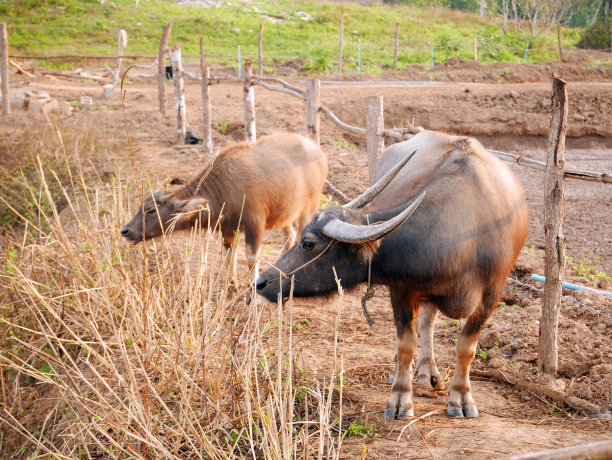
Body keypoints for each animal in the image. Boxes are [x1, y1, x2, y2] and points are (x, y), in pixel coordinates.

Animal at [121, 133, 328, 282]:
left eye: (151, 211)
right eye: (141, 207)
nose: (125, 231)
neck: (224, 190)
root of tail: (317, 150)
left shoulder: (255, 224)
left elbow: (251, 259)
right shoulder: (227, 230)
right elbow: (229, 258)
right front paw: (231, 285)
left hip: (309, 206)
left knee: (300, 235)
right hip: (285, 212)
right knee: (289, 236)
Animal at [256, 129, 528, 420]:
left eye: (308, 243)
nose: (261, 282)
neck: (463, 232)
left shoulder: (492, 295)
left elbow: (466, 347)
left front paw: (461, 398)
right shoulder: (402, 289)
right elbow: (405, 343)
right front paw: (400, 399)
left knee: (428, 321)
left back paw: (427, 371)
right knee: (420, 326)